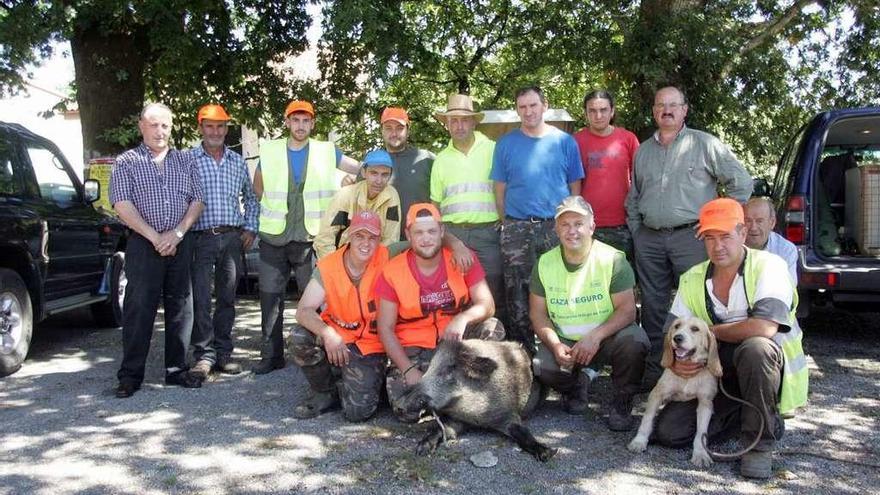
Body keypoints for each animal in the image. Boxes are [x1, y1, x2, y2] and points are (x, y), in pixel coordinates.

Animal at [624, 318, 720, 468]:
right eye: (677, 326)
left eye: (695, 329)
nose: (677, 338)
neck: (687, 377)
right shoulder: (657, 394)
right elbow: (647, 420)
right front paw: (639, 441)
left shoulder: (706, 403)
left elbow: (701, 432)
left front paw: (700, 454)